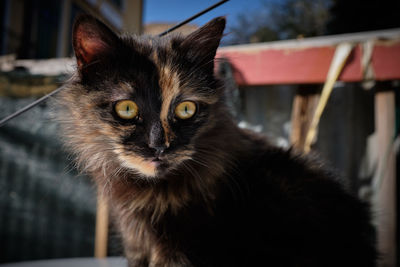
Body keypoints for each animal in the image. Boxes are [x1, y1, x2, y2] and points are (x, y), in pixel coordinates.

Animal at [57, 15, 378, 267]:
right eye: (126, 108)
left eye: (186, 109)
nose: (159, 145)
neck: (154, 192)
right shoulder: (137, 240)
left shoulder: (179, 248)